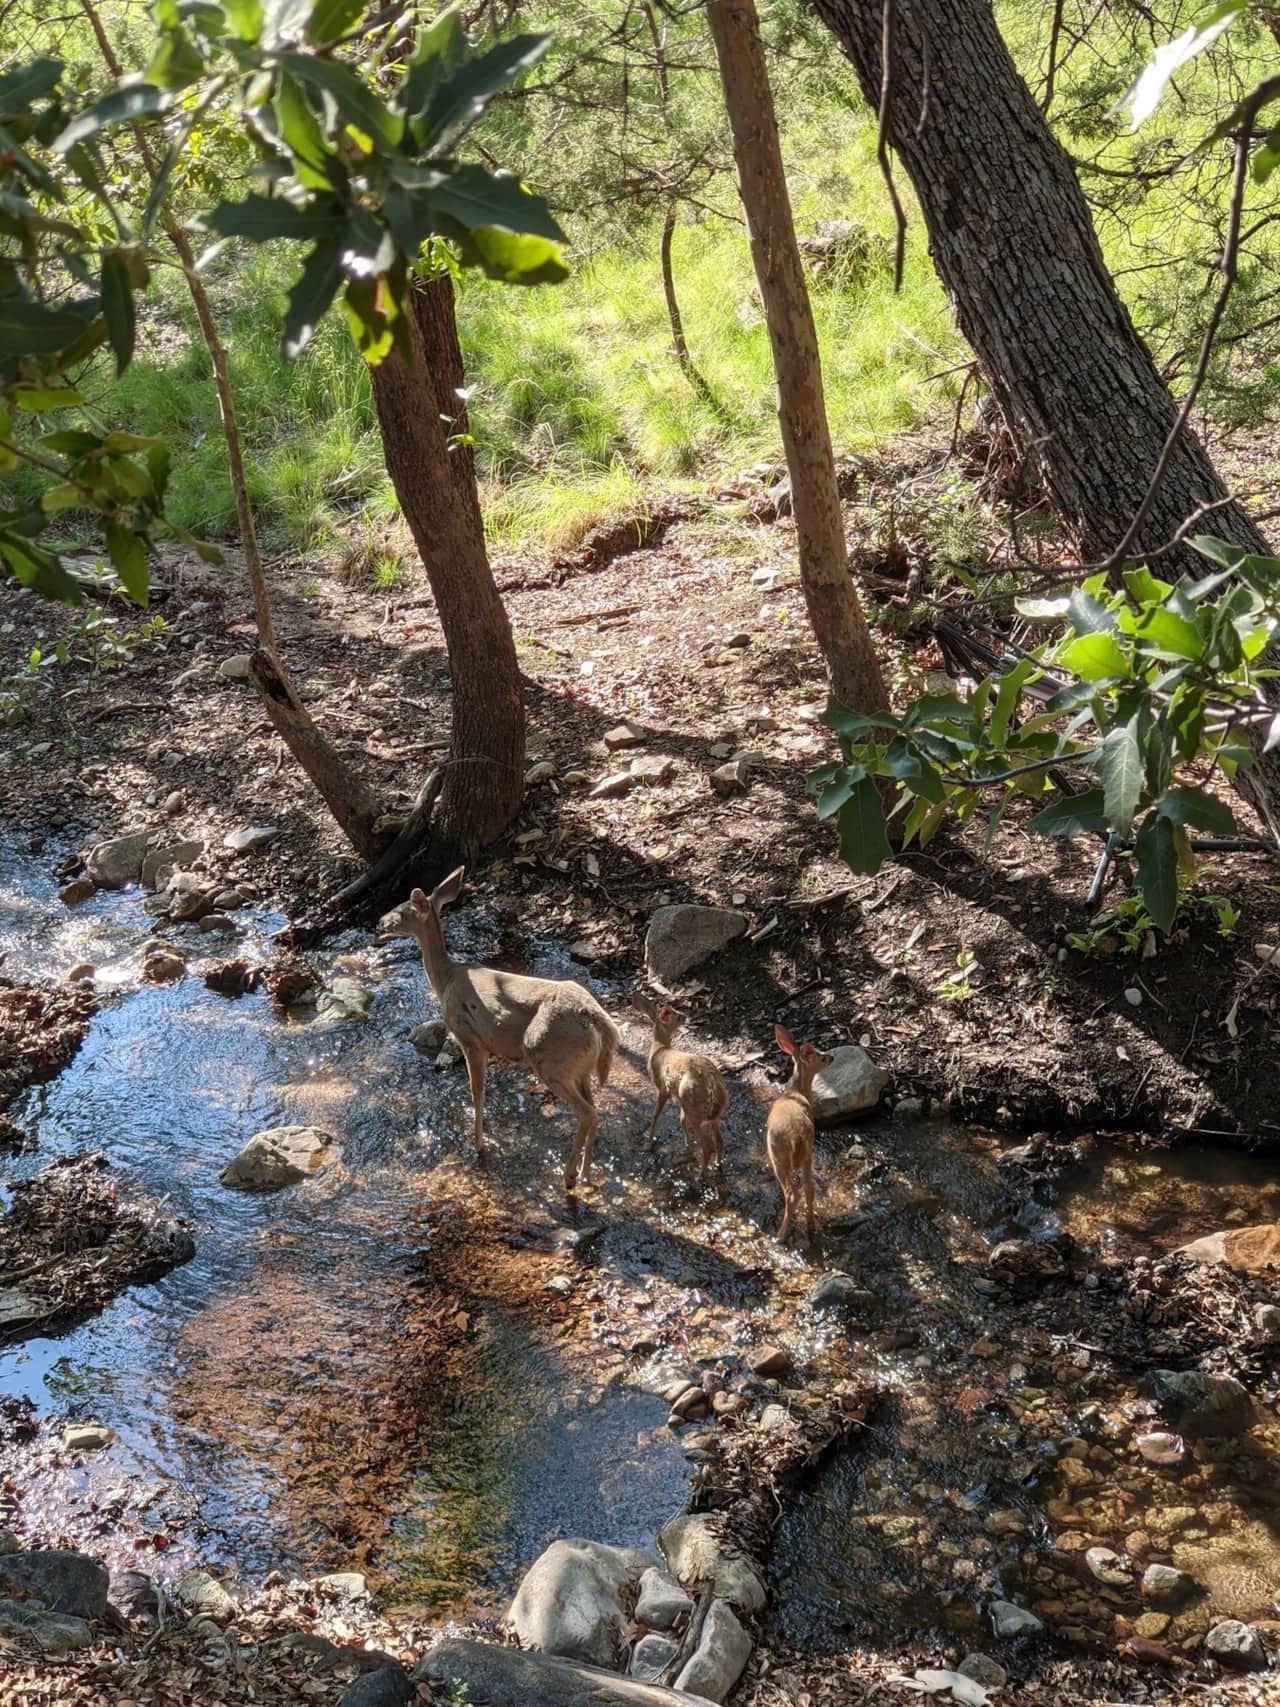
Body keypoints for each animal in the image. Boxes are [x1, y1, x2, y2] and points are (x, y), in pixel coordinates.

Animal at [380, 868, 619, 1193]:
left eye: (402, 911)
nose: (380, 922)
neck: (445, 980)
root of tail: (596, 1018)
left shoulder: (469, 1037)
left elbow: (476, 1091)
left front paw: (478, 1145)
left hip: (548, 1058)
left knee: (587, 1113)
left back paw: (569, 1177)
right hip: (580, 1067)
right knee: (596, 1110)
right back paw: (587, 1175)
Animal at [631, 992, 727, 1180]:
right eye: (678, 1015)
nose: (686, 1016)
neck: (659, 1050)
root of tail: (714, 1084)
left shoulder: (662, 1088)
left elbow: (655, 1115)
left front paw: (648, 1144)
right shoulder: (677, 1097)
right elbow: (681, 1120)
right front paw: (686, 1147)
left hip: (693, 1102)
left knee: (708, 1144)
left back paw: (701, 1176)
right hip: (710, 1110)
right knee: (719, 1141)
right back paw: (718, 1168)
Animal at [766, 1024, 831, 1243]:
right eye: (821, 1056)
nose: (831, 1056)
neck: (796, 1093)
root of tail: (795, 1137)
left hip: (778, 1156)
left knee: (793, 1194)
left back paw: (780, 1235)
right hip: (808, 1152)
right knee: (809, 1189)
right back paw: (810, 1226)